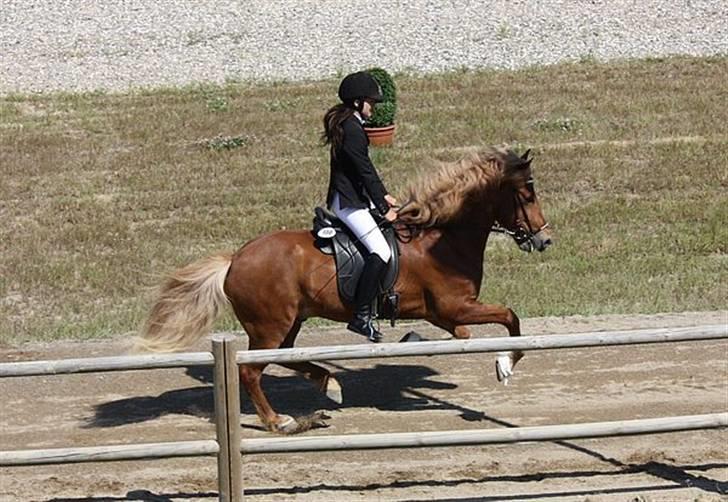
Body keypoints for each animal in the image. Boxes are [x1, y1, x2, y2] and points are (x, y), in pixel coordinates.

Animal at [136, 145, 552, 432]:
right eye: (527, 195)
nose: (544, 240)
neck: (442, 238)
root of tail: (235, 258)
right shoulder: (456, 306)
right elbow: (511, 318)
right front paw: (504, 366)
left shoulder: (448, 316)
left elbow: (474, 330)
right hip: (269, 327)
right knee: (251, 372)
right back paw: (279, 421)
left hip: (288, 322)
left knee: (288, 357)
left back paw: (328, 383)